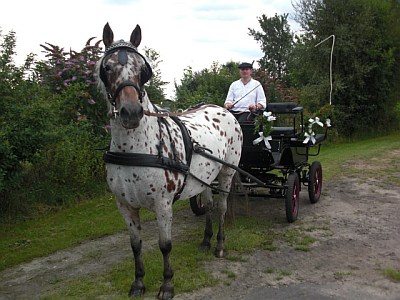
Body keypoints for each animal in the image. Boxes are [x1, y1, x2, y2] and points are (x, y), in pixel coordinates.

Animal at [95, 23, 242, 300]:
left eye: (143, 69)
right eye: (106, 67)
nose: (131, 112)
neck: (137, 149)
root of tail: (224, 109)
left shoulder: (163, 204)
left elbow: (165, 245)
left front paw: (167, 285)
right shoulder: (124, 205)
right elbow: (135, 245)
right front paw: (138, 282)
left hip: (227, 173)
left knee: (220, 208)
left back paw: (219, 245)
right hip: (205, 178)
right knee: (208, 204)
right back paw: (206, 241)